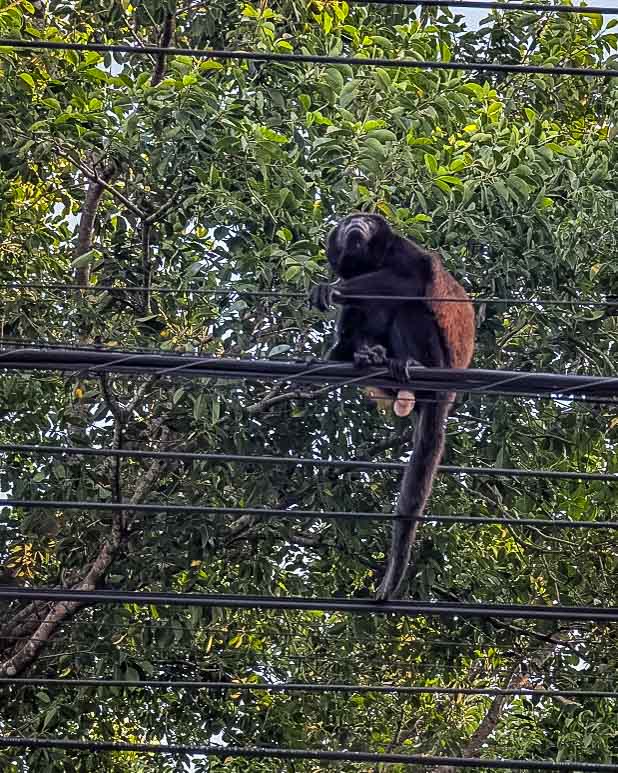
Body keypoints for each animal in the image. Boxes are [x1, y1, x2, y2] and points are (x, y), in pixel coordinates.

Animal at [310, 214, 474, 600]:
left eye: (364, 220)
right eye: (348, 222)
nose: (356, 223)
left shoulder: (403, 248)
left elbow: (411, 279)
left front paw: (334, 288)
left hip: (439, 359)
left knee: (411, 308)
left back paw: (408, 363)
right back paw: (364, 355)